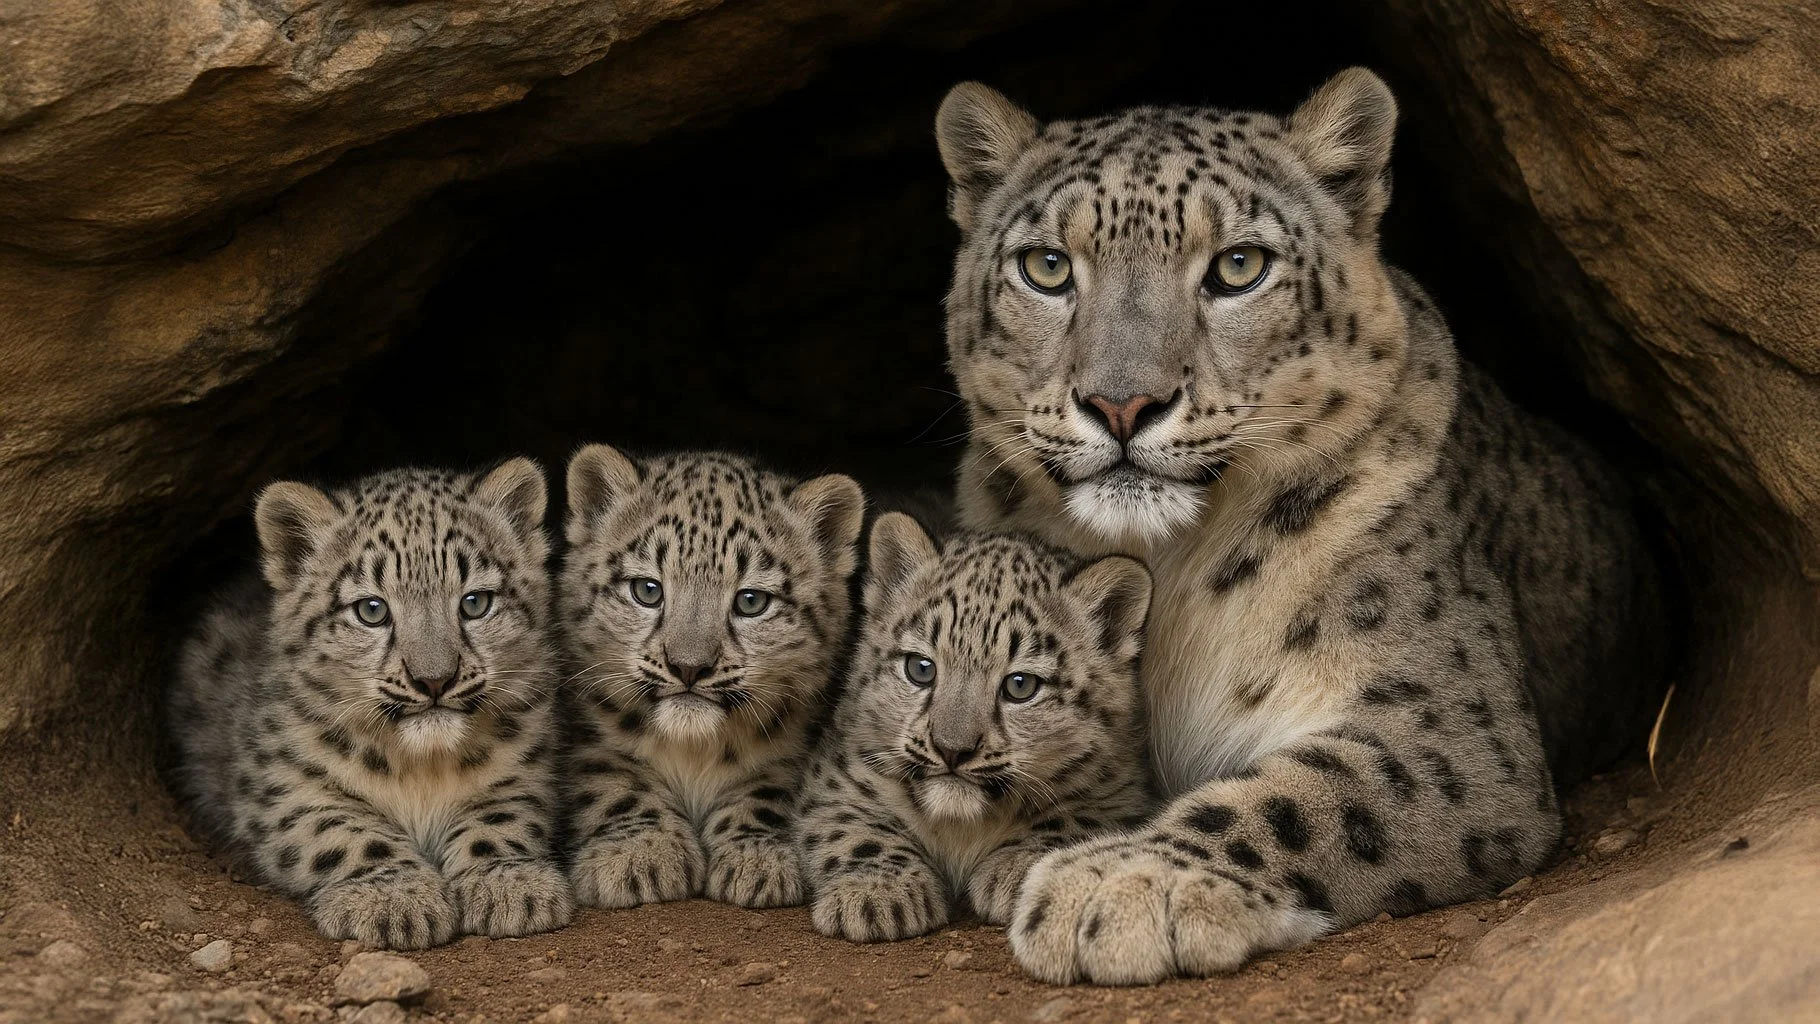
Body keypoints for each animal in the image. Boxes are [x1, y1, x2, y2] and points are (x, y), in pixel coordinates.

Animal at [167, 459, 573, 949]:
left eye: (475, 602)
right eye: (372, 610)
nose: (434, 679)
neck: (424, 770)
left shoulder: (524, 770)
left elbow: (502, 818)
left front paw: (510, 883)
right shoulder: (285, 787)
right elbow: (343, 832)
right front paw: (394, 898)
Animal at [557, 445, 864, 910]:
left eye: (751, 601)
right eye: (647, 590)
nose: (689, 666)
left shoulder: (792, 750)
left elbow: (765, 791)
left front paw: (757, 860)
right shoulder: (592, 738)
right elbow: (615, 784)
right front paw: (639, 855)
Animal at [799, 514, 1155, 943]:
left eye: (1020, 685)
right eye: (921, 668)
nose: (952, 749)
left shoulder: (1117, 792)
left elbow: (1073, 819)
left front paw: (1017, 870)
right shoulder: (842, 774)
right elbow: (852, 826)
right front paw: (877, 893)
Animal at [932, 67, 1671, 983]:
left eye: (1239, 266)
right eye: (1047, 267)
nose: (1122, 403)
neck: (1165, 569)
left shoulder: (1445, 725)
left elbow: (1301, 799)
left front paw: (1116, 883)